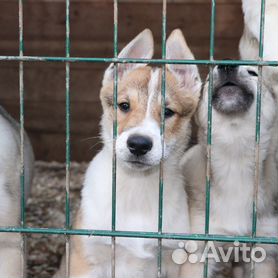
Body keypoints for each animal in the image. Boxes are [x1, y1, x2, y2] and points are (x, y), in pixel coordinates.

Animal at [55, 28, 201, 278]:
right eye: (124, 105)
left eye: (168, 112)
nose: (139, 144)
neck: (136, 187)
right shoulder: (86, 258)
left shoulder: (173, 260)